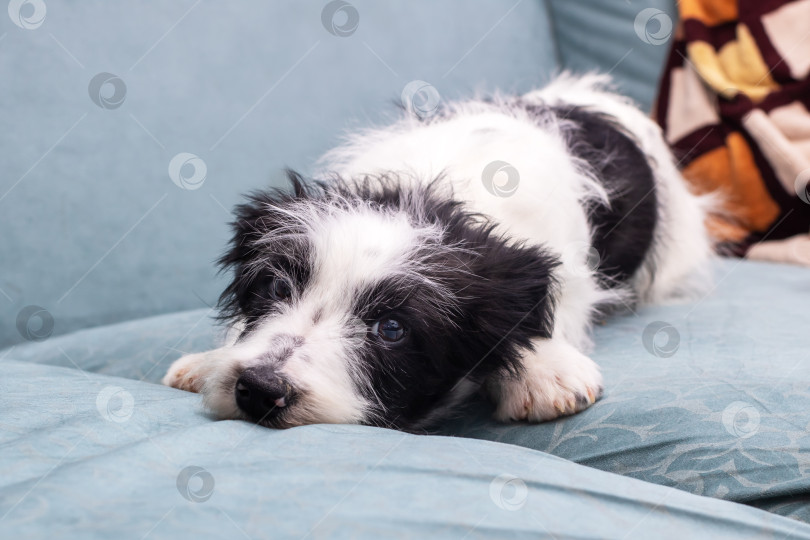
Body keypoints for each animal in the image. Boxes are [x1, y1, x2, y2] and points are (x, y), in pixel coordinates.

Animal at [163, 75, 708, 430]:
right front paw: (210, 358)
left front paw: (544, 370)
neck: (434, 192)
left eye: (391, 330)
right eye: (276, 286)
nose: (259, 389)